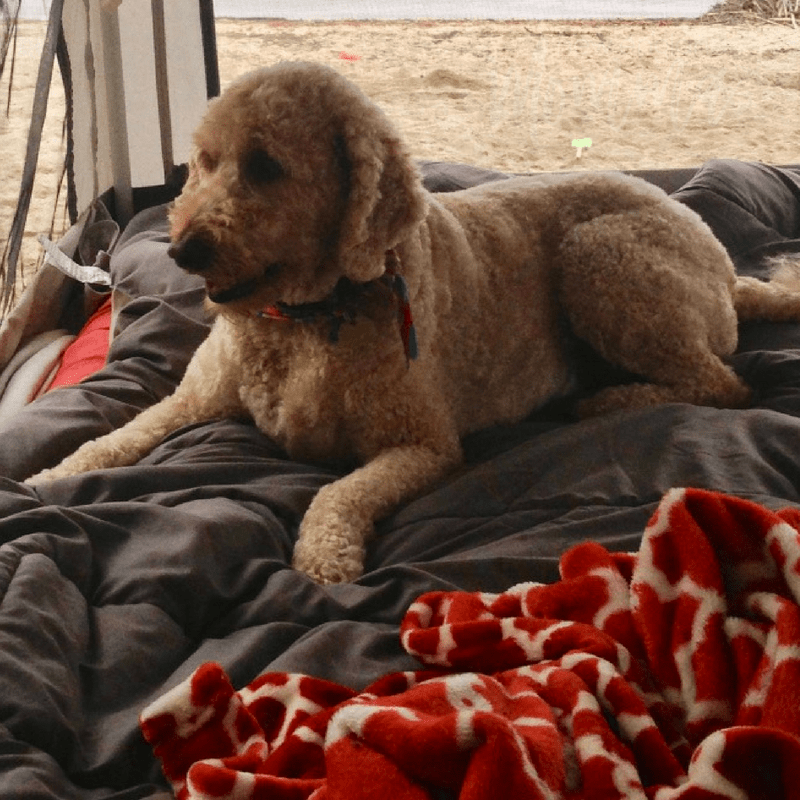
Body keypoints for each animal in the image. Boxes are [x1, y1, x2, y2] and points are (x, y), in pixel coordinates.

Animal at [26, 61, 800, 580]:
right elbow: (113, 440)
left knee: (722, 385)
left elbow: (337, 491)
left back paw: (606, 399)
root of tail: (722, 262)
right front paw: (47, 479)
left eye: (267, 166)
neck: (303, 318)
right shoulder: (191, 400)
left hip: (602, 257)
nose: (183, 249)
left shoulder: (423, 445)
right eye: (205, 162)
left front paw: (324, 557)